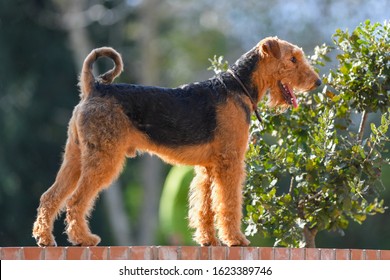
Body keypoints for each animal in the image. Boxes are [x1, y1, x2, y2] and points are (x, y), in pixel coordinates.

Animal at [32, 36, 320, 246]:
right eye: (293, 58)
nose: (316, 82)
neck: (238, 87)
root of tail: (94, 87)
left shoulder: (208, 167)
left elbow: (205, 206)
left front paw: (208, 240)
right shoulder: (230, 162)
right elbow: (228, 203)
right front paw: (235, 239)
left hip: (76, 157)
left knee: (50, 196)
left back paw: (44, 238)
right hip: (103, 159)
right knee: (75, 201)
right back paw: (83, 239)